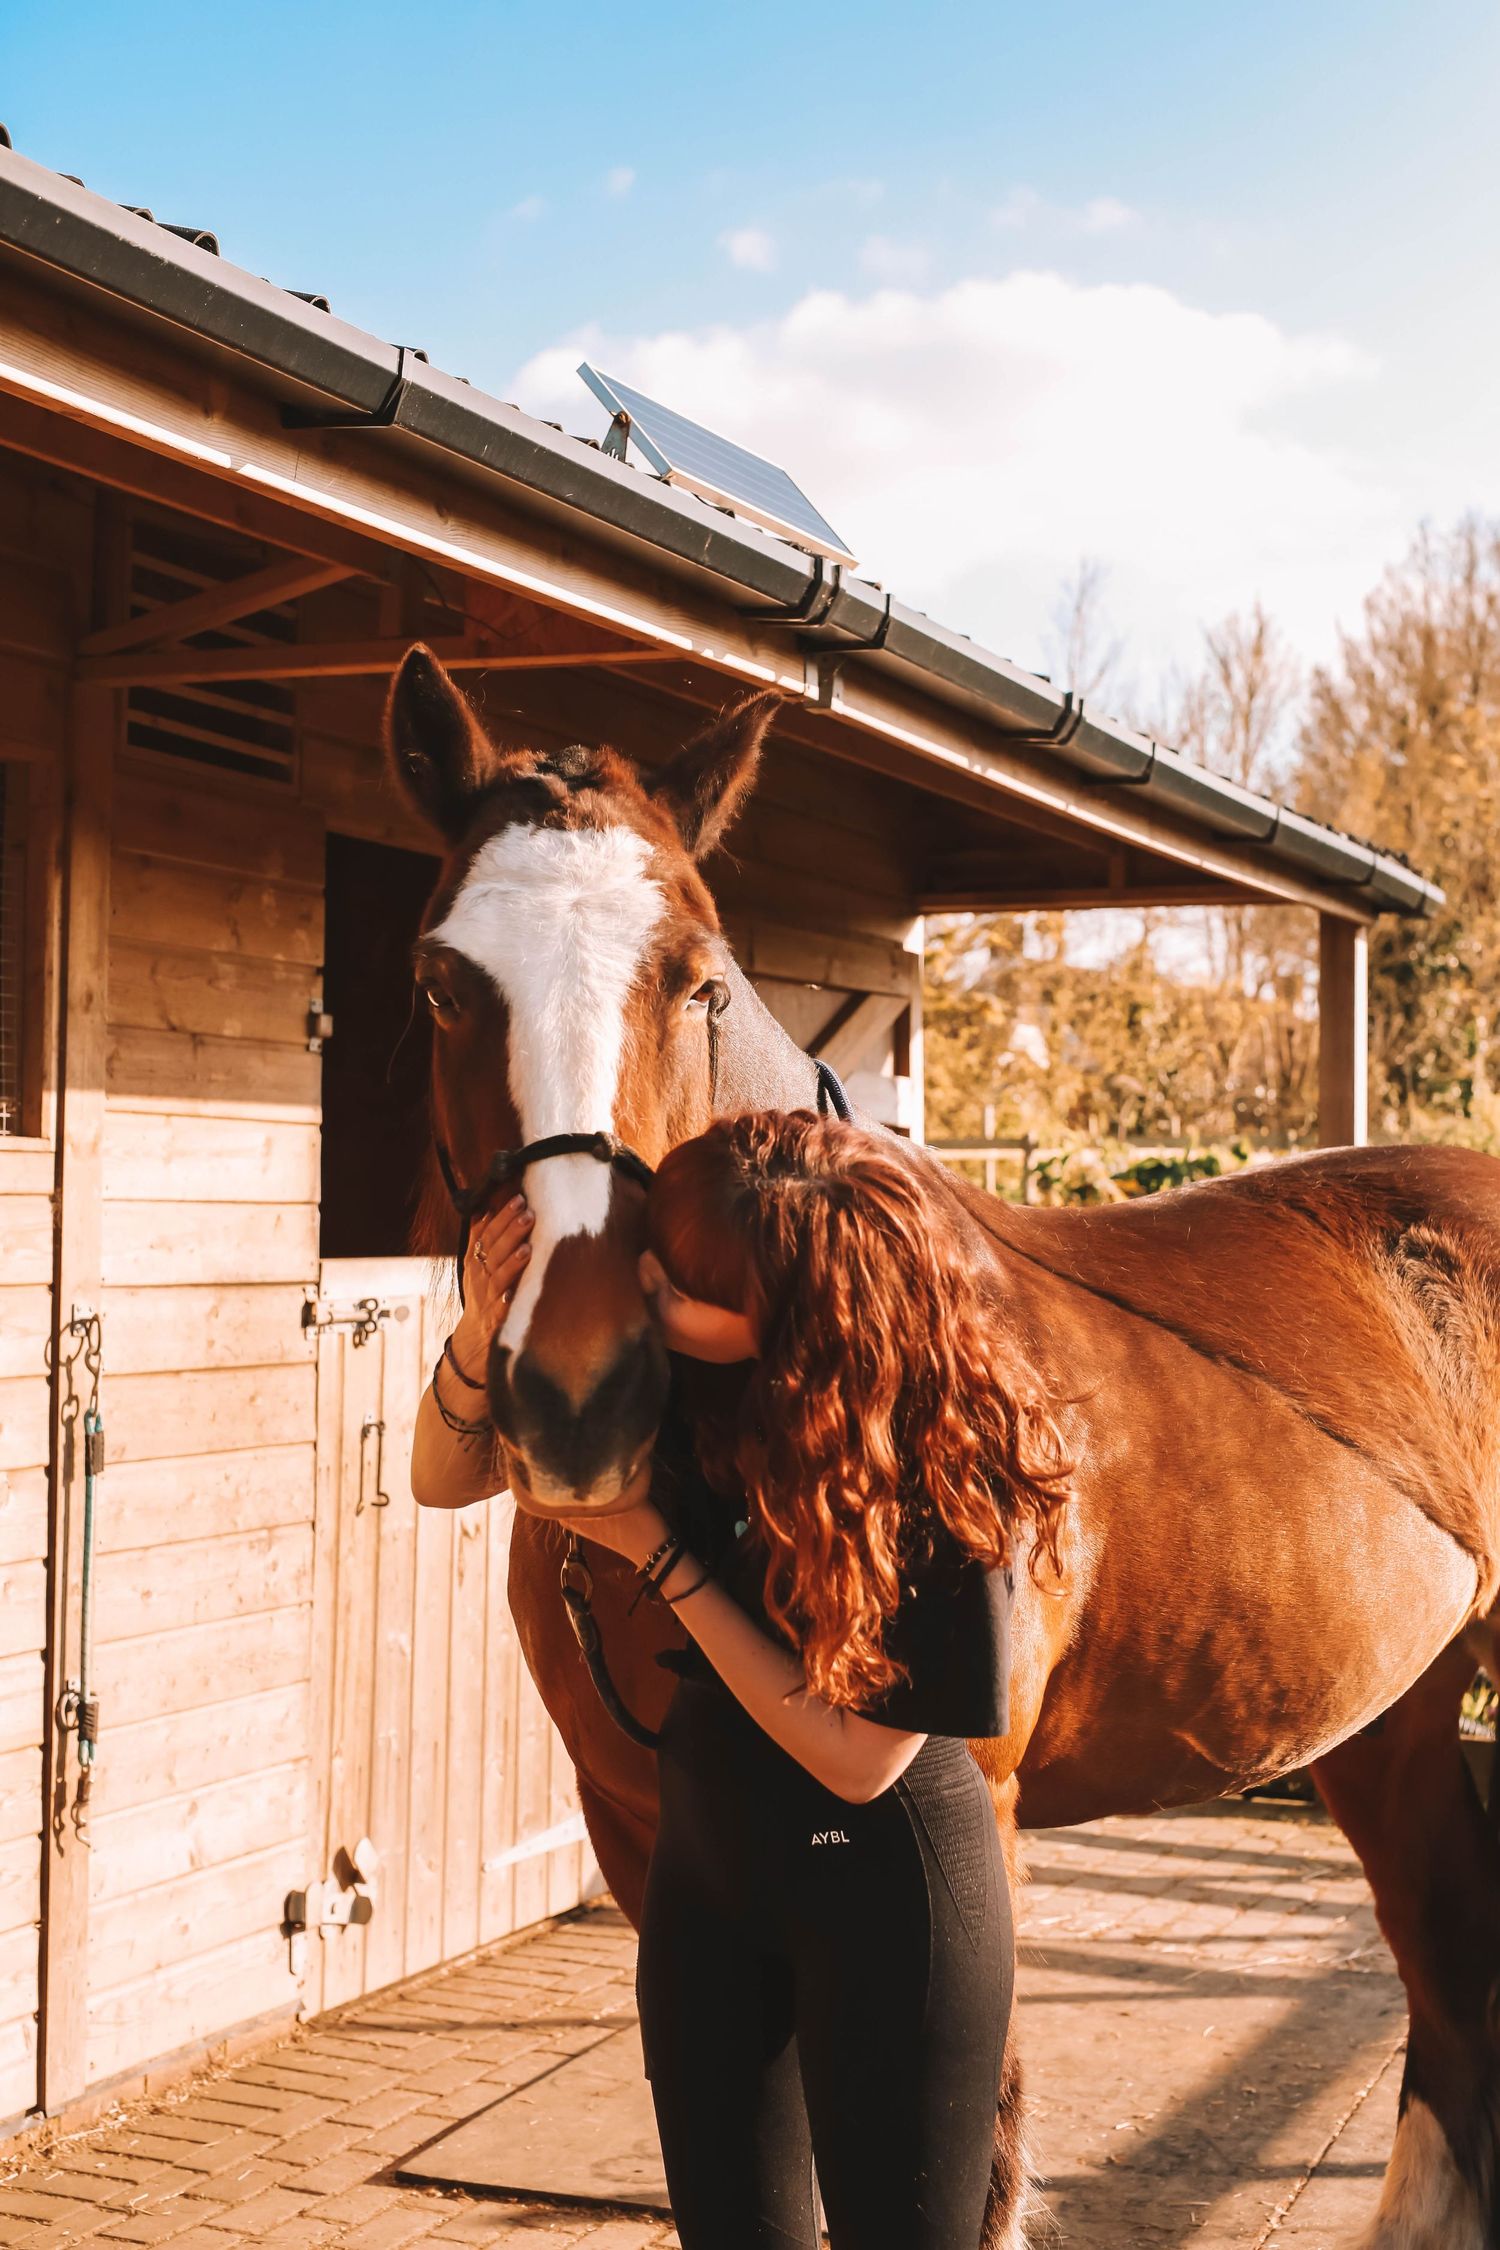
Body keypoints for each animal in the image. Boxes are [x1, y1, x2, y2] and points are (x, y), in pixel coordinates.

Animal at [388, 644, 1500, 2250]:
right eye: (439, 981)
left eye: (697, 978)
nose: (578, 1395)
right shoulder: (640, 1834)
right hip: (1392, 1718)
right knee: (1450, 1951)